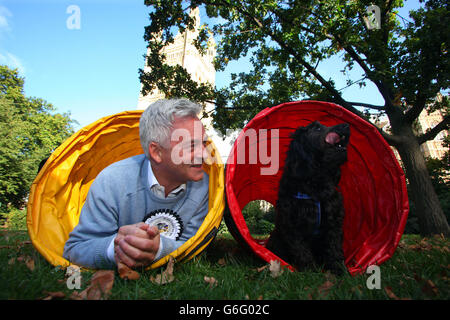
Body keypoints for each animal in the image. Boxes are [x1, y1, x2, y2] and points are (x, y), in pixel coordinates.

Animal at [268, 121, 352, 274]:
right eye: (316, 128)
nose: (346, 125)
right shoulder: (292, 224)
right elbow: (301, 250)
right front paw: (310, 271)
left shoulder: (334, 221)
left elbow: (334, 248)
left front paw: (340, 269)